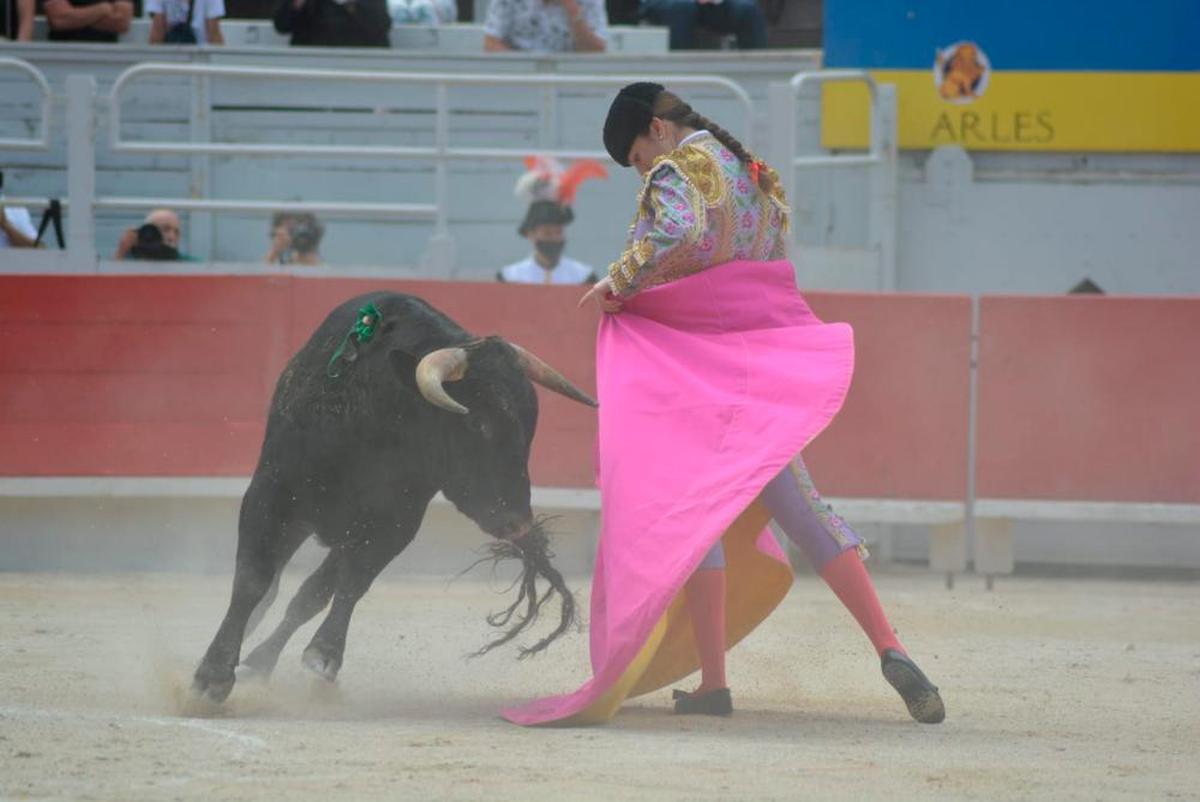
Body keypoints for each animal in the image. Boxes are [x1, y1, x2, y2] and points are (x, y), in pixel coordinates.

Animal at [190, 292, 595, 701]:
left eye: (529, 429)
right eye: (477, 423)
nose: (519, 522)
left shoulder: (394, 521)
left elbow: (347, 584)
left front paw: (323, 655)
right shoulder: (269, 495)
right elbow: (252, 581)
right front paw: (213, 675)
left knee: (308, 595)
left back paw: (260, 661)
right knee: (270, 588)